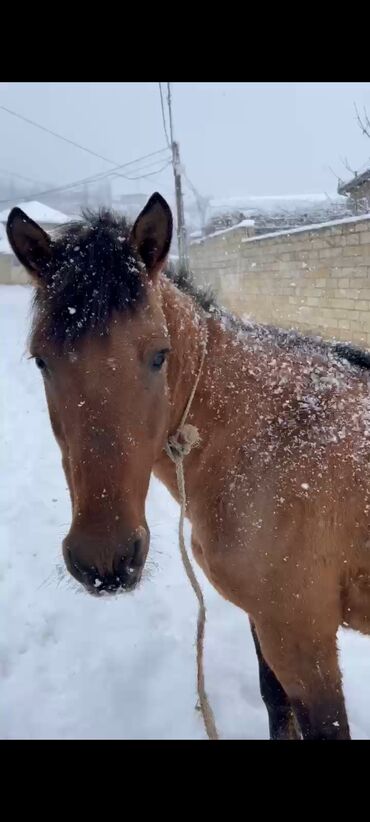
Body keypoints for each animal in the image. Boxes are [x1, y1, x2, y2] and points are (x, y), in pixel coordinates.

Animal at [7, 193, 370, 740]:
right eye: (41, 361)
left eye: (159, 355)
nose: (105, 559)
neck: (273, 439)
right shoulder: (266, 624)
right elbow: (274, 704)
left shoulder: (303, 638)